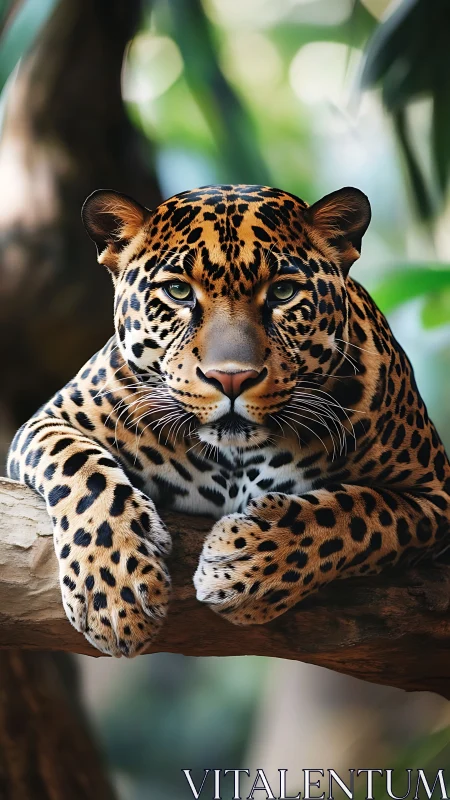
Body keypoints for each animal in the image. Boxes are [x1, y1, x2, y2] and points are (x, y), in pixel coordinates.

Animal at [7, 183, 450, 657]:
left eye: (283, 293)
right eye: (178, 291)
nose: (231, 377)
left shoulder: (436, 493)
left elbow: (358, 515)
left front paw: (245, 564)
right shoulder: (50, 420)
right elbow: (82, 471)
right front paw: (114, 590)